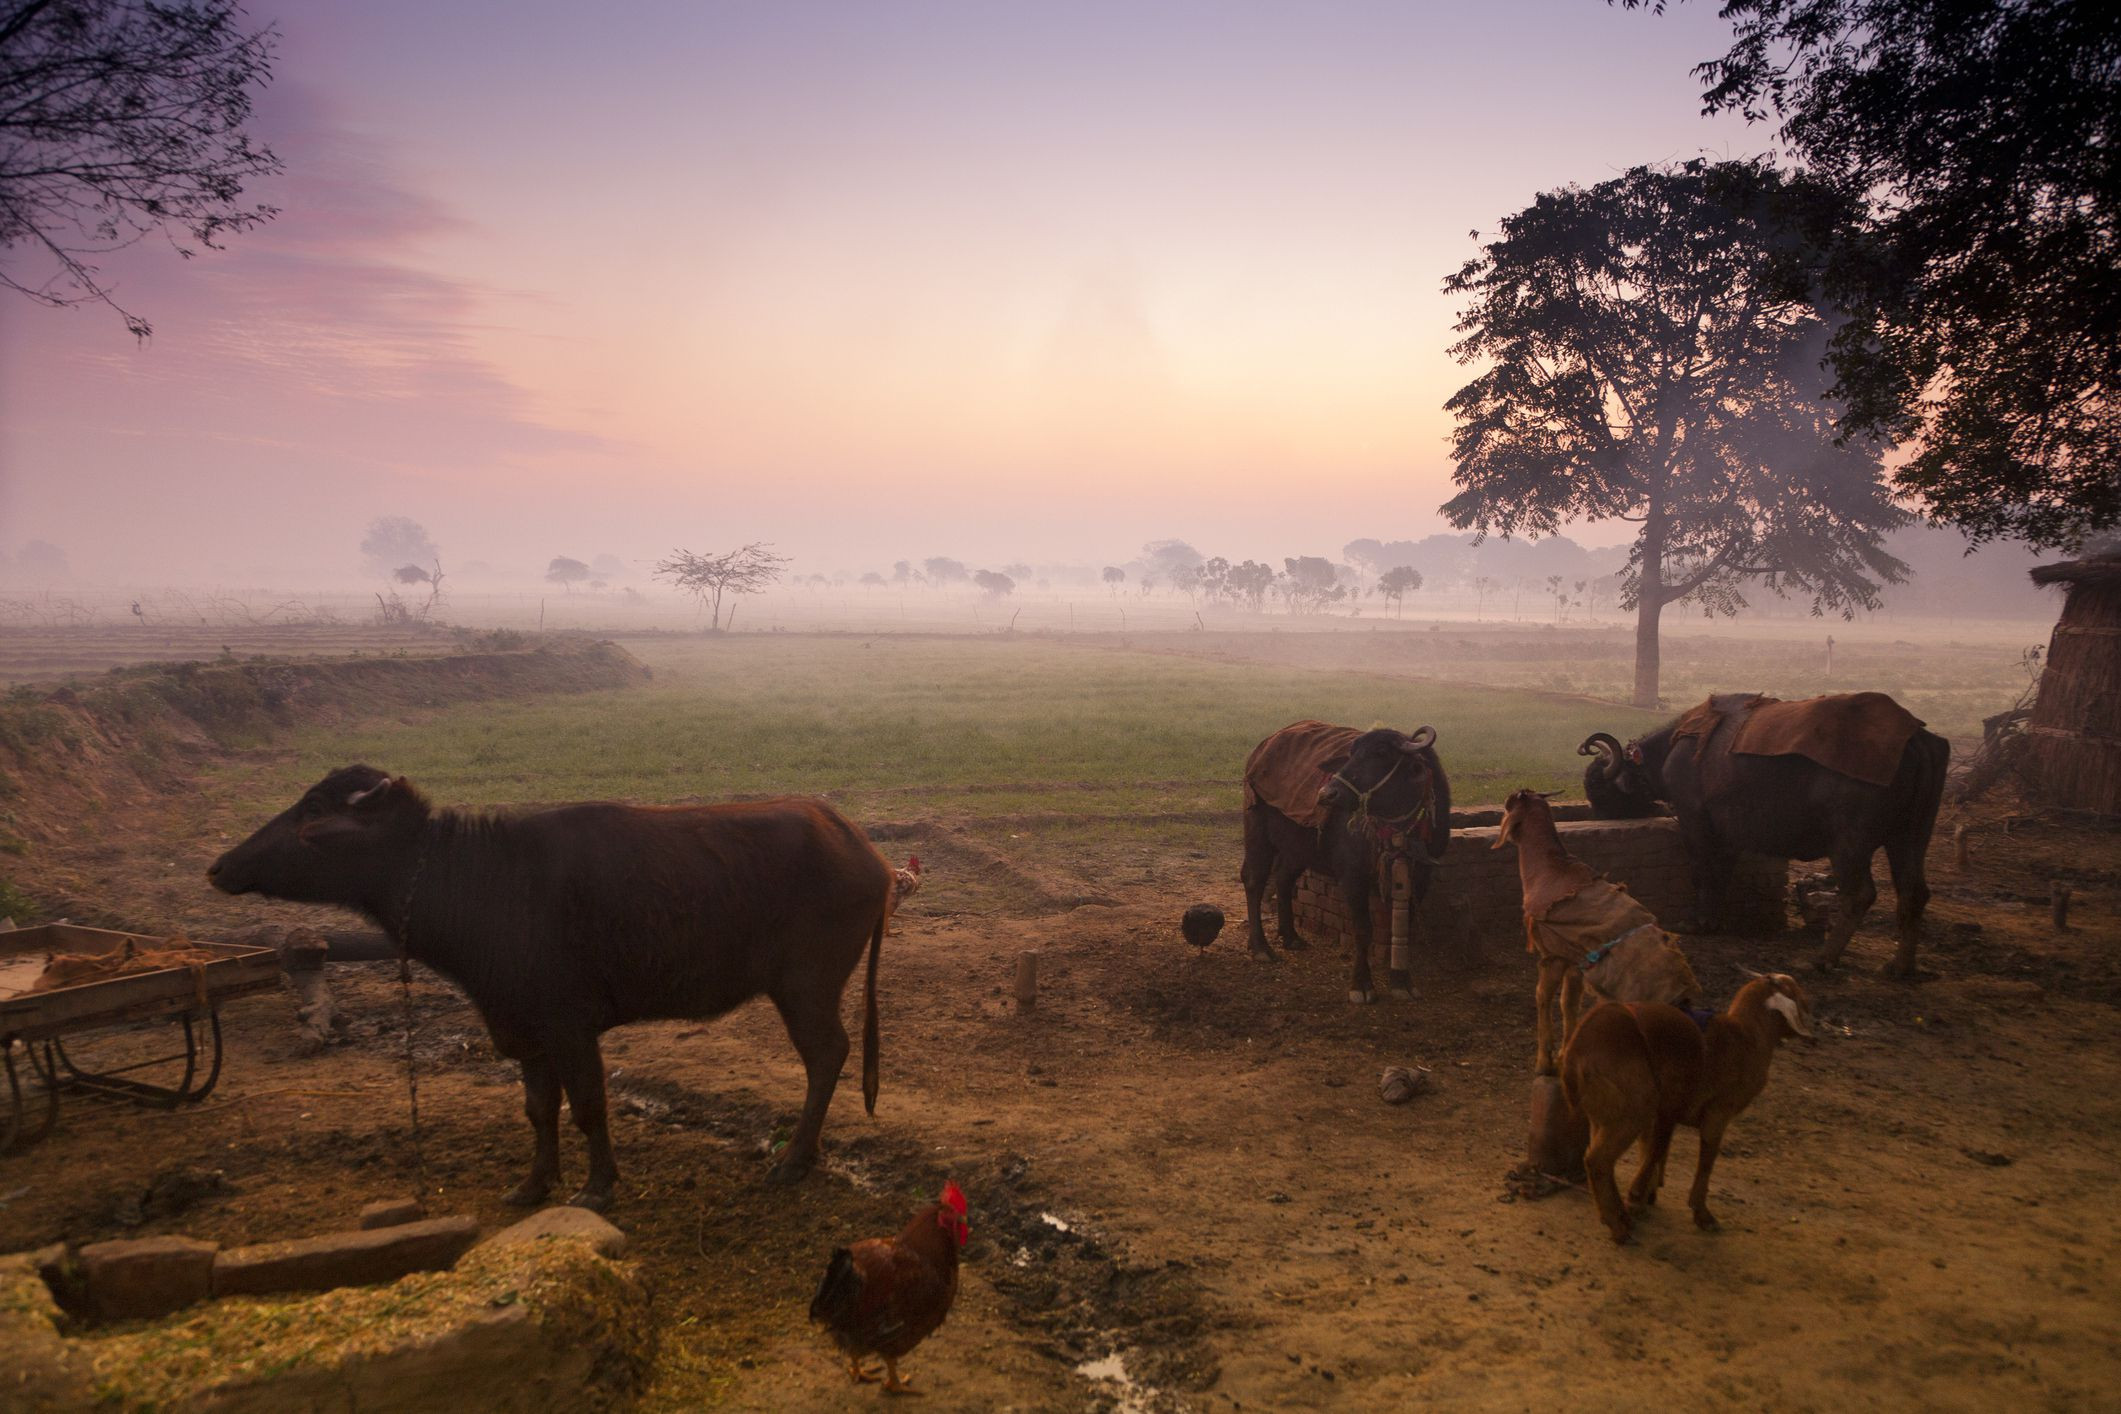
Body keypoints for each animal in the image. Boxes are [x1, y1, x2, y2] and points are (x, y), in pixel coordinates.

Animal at [204, 767, 886, 1212]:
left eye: (314, 812)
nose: (219, 866)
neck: (480, 883)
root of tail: (865, 851)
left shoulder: (568, 1027)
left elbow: (587, 1105)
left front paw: (598, 1186)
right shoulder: (520, 1028)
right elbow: (539, 1110)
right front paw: (533, 1184)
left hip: (806, 987)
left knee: (828, 1055)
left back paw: (793, 1159)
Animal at [1501, 784, 1696, 1072]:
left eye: (1510, 803)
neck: (1549, 870)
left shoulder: (1553, 956)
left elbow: (1543, 998)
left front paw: (1545, 1061)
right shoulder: (1575, 961)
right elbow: (1568, 1004)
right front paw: (1564, 1054)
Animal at [1569, 979, 1815, 1246]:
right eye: (1795, 991)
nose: (1810, 1010)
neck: (1748, 1037)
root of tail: (1576, 1050)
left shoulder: (1667, 1111)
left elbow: (1655, 1149)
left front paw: (1639, 1198)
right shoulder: (1717, 1111)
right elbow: (1706, 1159)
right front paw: (1701, 1214)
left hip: (1605, 1110)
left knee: (1597, 1156)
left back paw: (1618, 1216)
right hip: (1633, 1107)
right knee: (1598, 1160)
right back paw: (1618, 1228)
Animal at [1586, 695, 1942, 979]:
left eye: (1601, 791)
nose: (1599, 813)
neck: (1677, 747)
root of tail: (1913, 739)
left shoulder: (1693, 818)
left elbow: (1702, 871)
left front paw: (1697, 922)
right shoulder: (1730, 835)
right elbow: (1721, 874)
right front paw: (1712, 921)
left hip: (1849, 844)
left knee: (1859, 894)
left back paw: (1822, 958)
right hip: (1911, 837)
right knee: (1914, 892)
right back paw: (1900, 966)